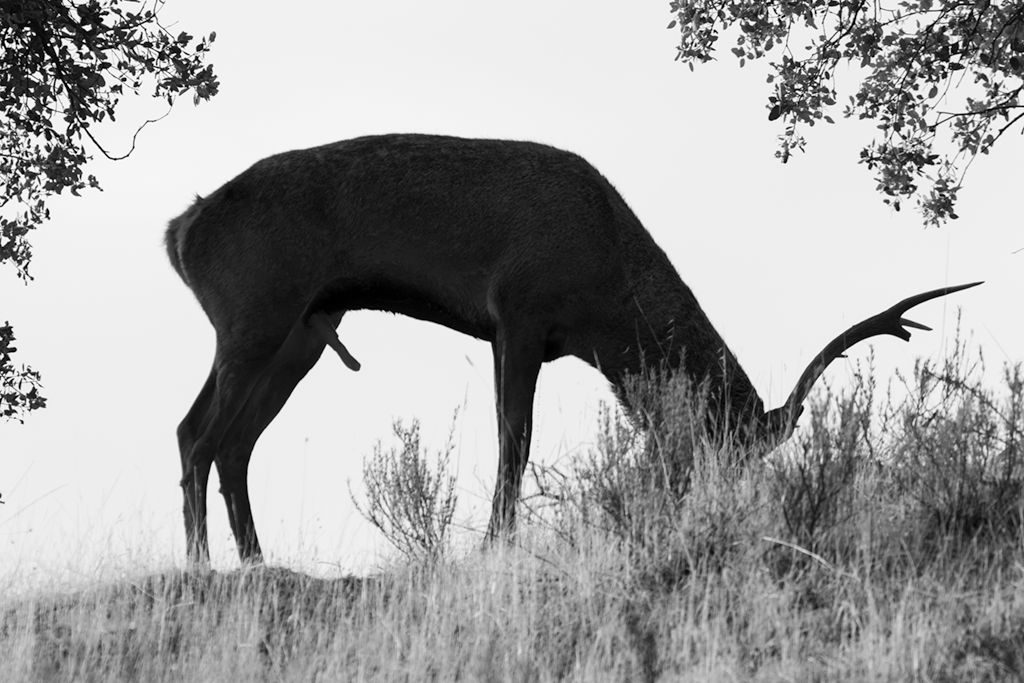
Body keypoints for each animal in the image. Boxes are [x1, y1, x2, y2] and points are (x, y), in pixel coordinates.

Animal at [165, 133, 980, 565]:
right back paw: (205, 565)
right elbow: (513, 441)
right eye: (716, 444)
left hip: (300, 330)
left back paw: (255, 561)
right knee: (202, 434)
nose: (712, 519)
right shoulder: (518, 312)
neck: (604, 305)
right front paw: (495, 545)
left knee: (220, 438)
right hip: (255, 313)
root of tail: (179, 230)